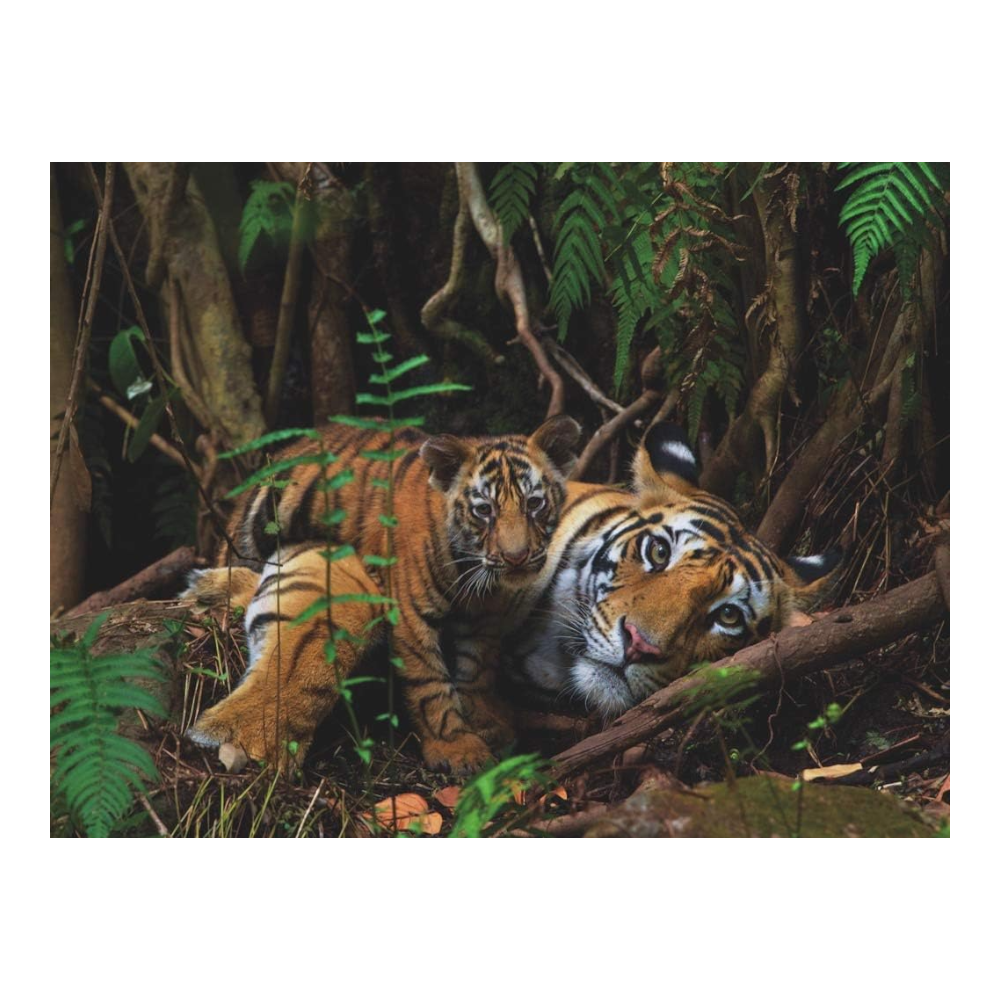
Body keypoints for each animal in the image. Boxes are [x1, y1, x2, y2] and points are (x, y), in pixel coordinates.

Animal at [185, 416, 581, 774]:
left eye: (534, 504)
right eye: (484, 509)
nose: (516, 557)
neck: (474, 572)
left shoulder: (483, 619)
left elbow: (477, 669)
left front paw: (486, 722)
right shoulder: (411, 613)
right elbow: (429, 683)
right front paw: (457, 749)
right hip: (251, 530)